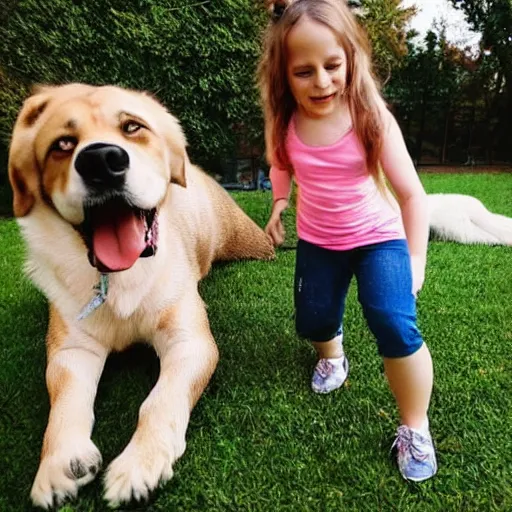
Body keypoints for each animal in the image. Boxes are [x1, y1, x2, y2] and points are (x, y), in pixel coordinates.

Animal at [7, 84, 276, 508]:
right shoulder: (72, 351)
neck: (121, 278)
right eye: (62, 144)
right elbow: (64, 400)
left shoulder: (189, 341)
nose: (101, 160)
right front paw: (60, 462)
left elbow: (159, 401)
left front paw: (140, 465)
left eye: (132, 127)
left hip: (247, 240)